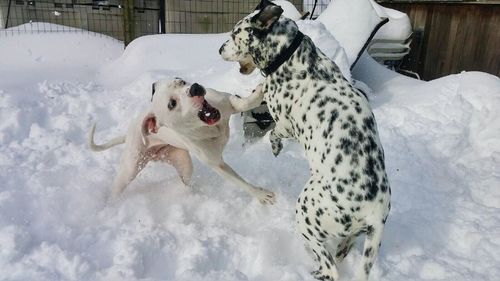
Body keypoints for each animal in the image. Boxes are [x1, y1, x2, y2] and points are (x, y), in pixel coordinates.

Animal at [90, 77, 278, 203]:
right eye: (172, 104)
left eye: (181, 81)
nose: (195, 88)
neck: (208, 126)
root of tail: (129, 133)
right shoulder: (217, 164)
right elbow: (240, 182)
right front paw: (262, 195)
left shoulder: (225, 102)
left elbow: (242, 103)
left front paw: (259, 92)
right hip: (128, 170)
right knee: (117, 189)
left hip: (184, 164)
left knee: (186, 181)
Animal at [219, 1, 390, 278]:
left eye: (235, 34)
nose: (219, 49)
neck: (289, 54)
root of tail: (373, 213)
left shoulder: (285, 123)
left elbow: (273, 132)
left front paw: (275, 146)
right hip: (353, 237)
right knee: (341, 252)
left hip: (305, 216)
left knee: (331, 268)